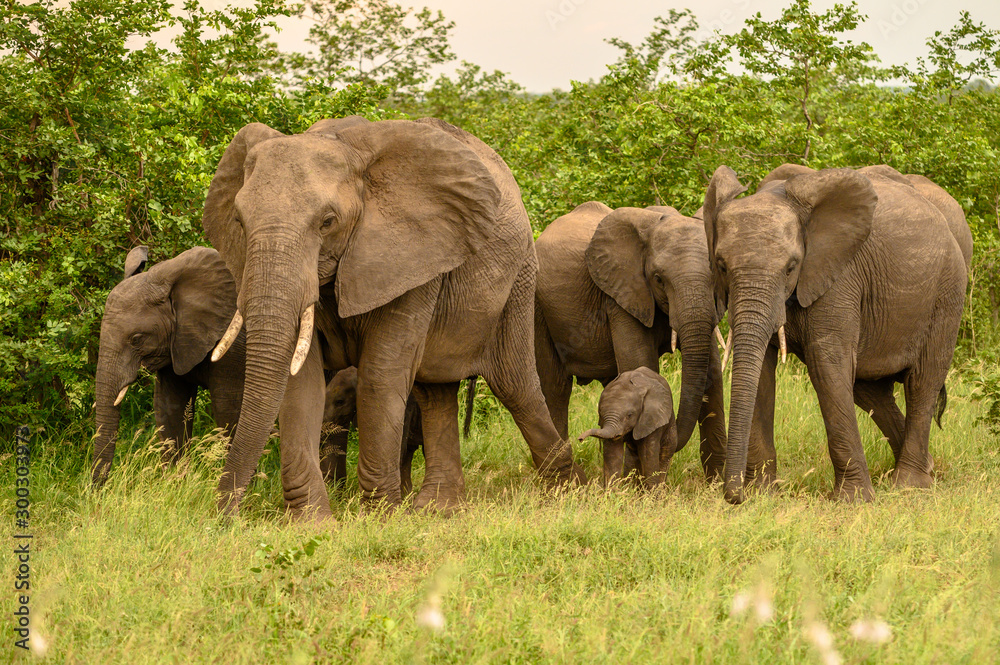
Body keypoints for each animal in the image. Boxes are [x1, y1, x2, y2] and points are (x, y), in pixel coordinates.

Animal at [93, 246, 246, 484]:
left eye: (136, 339)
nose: (96, 490)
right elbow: (169, 407)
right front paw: (175, 483)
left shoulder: (233, 348)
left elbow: (229, 410)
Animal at [202, 115, 586, 518]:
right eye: (239, 222)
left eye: (327, 221)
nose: (227, 517)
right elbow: (301, 380)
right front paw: (313, 522)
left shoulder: (413, 255)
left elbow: (380, 374)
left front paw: (377, 517)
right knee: (435, 392)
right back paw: (438, 508)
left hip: (519, 277)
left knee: (516, 386)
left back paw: (569, 493)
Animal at [534, 202, 727, 481]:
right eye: (658, 279)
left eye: (717, 274)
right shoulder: (621, 296)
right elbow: (641, 363)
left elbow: (712, 370)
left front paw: (720, 482)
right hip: (538, 308)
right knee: (555, 387)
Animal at [704, 163, 968, 504]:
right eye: (721, 265)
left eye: (791, 267)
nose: (733, 496)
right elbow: (761, 370)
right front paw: (763, 494)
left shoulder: (839, 276)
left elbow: (826, 364)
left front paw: (853, 501)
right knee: (868, 391)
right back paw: (927, 469)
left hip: (948, 291)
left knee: (922, 381)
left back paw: (909, 485)